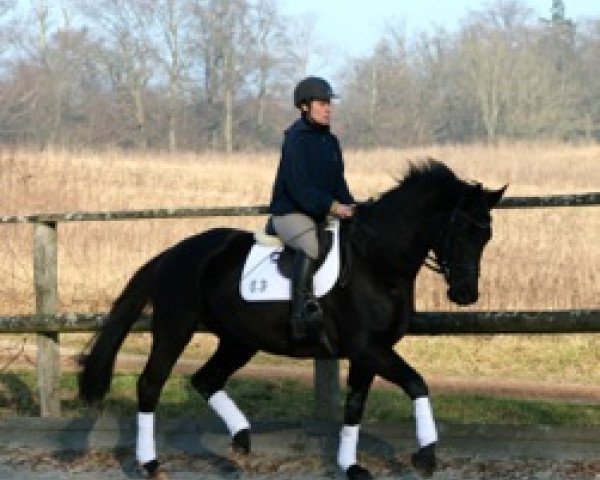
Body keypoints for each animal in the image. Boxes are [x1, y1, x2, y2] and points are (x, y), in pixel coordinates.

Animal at [77, 159, 504, 478]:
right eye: (460, 228)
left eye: (486, 236)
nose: (465, 295)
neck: (378, 261)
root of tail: (171, 254)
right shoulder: (367, 346)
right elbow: (416, 383)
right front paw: (426, 456)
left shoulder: (369, 352)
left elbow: (355, 405)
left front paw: (351, 466)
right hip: (174, 328)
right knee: (151, 385)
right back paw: (151, 463)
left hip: (239, 340)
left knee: (206, 379)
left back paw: (242, 440)